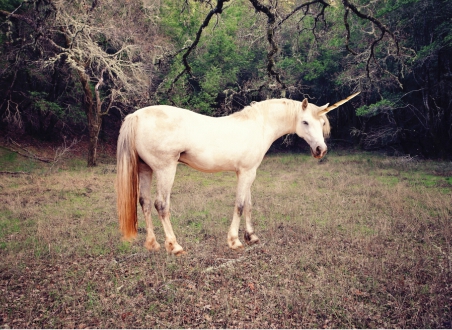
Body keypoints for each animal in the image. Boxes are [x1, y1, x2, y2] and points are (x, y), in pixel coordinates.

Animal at [116, 92, 360, 255]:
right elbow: (240, 205)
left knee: (145, 203)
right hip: (165, 169)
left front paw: (252, 236)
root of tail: (137, 116)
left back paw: (152, 244)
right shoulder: (245, 173)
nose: (320, 150)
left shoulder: (249, 172)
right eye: (305, 122)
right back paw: (174, 246)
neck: (258, 126)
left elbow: (249, 204)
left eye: (321, 123)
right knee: (161, 205)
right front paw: (234, 241)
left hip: (146, 169)